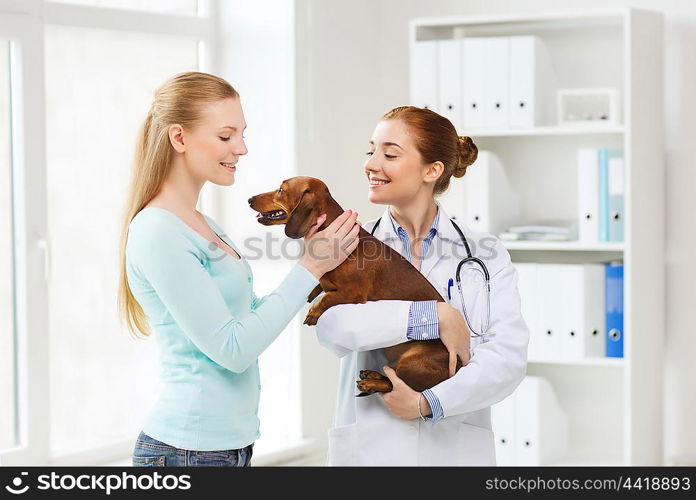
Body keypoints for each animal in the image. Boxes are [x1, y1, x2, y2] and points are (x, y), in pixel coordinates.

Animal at [247, 178, 460, 396]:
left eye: (281, 190)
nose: (249, 199)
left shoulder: (353, 293)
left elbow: (328, 297)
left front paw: (313, 313)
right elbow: (320, 284)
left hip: (412, 361)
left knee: (396, 385)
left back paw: (371, 383)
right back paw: (372, 375)